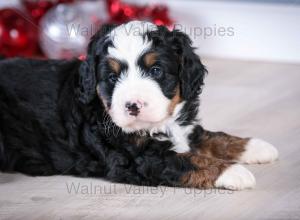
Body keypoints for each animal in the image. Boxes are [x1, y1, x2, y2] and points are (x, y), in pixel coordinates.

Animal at [0, 20, 278, 190]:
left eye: (156, 70)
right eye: (112, 78)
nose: (132, 105)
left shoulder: (184, 128)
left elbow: (211, 137)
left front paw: (255, 147)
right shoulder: (137, 158)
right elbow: (186, 160)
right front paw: (233, 172)